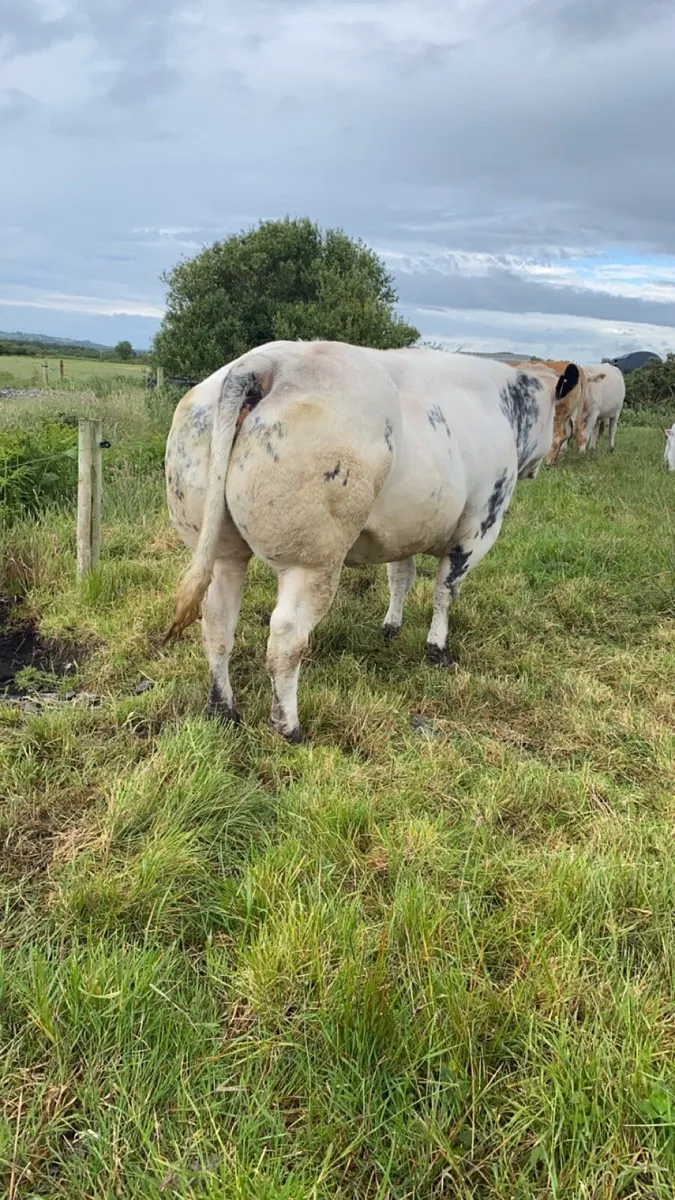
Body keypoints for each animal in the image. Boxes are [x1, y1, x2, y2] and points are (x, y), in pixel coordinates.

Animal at [164, 340, 579, 742]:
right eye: (560, 417)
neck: (501, 403)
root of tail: (266, 362)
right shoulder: (478, 526)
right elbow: (445, 590)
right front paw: (437, 649)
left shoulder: (401, 531)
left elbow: (401, 577)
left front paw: (391, 627)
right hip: (312, 561)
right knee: (286, 637)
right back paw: (289, 727)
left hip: (221, 550)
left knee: (217, 621)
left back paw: (222, 710)